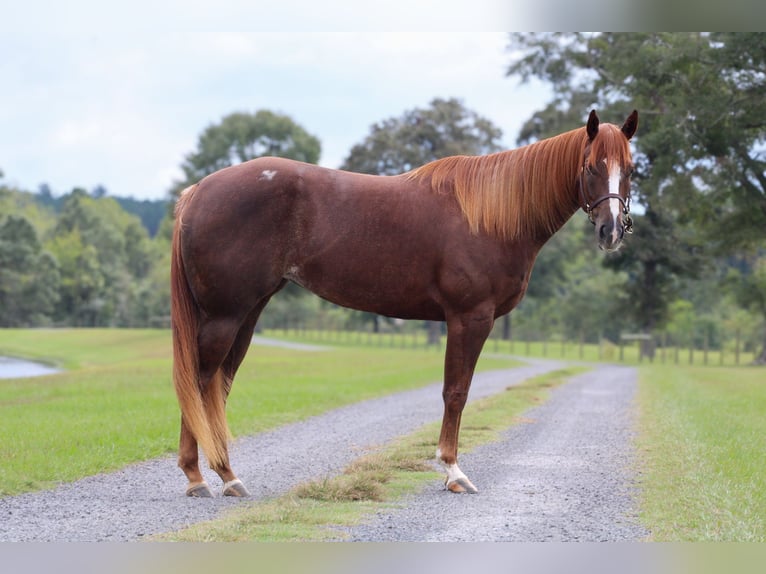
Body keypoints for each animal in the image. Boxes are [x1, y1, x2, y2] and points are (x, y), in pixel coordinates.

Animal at [171, 110, 640, 498]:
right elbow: (456, 392)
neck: (491, 216)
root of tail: (198, 191)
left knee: (218, 385)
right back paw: (201, 477)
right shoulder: (470, 318)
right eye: (592, 166)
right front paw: (453, 471)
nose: (611, 231)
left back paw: (222, 476)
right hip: (225, 315)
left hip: (247, 313)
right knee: (200, 380)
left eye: (631, 169)